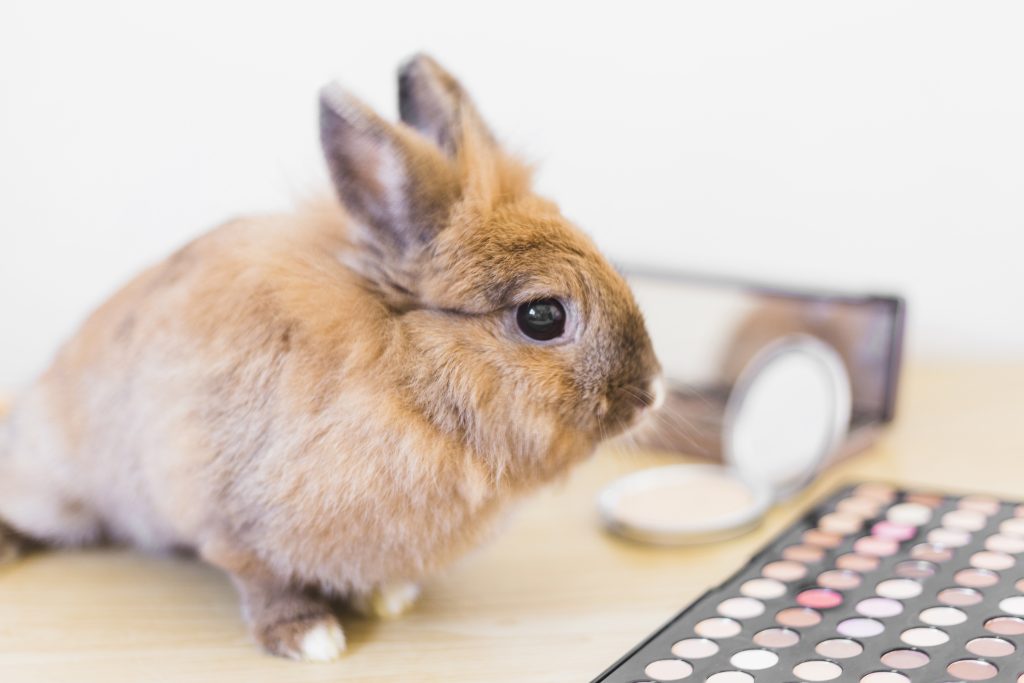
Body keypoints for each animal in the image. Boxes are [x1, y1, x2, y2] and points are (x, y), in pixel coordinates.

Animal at [0, 54, 663, 661]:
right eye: (541, 316)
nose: (652, 393)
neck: (405, 374)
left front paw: (387, 598)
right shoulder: (231, 521)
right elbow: (261, 580)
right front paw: (310, 638)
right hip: (60, 483)